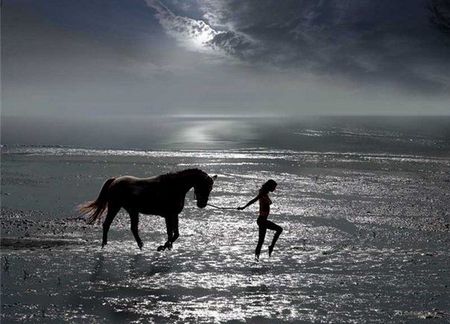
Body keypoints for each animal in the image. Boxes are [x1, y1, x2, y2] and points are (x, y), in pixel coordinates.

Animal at [79, 168, 216, 252]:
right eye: (204, 186)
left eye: (211, 188)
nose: (202, 204)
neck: (173, 187)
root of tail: (115, 180)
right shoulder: (169, 215)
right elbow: (171, 233)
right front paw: (163, 247)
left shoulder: (173, 215)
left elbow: (175, 233)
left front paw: (168, 246)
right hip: (115, 206)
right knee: (107, 224)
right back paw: (104, 245)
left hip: (132, 211)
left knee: (133, 228)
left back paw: (140, 245)